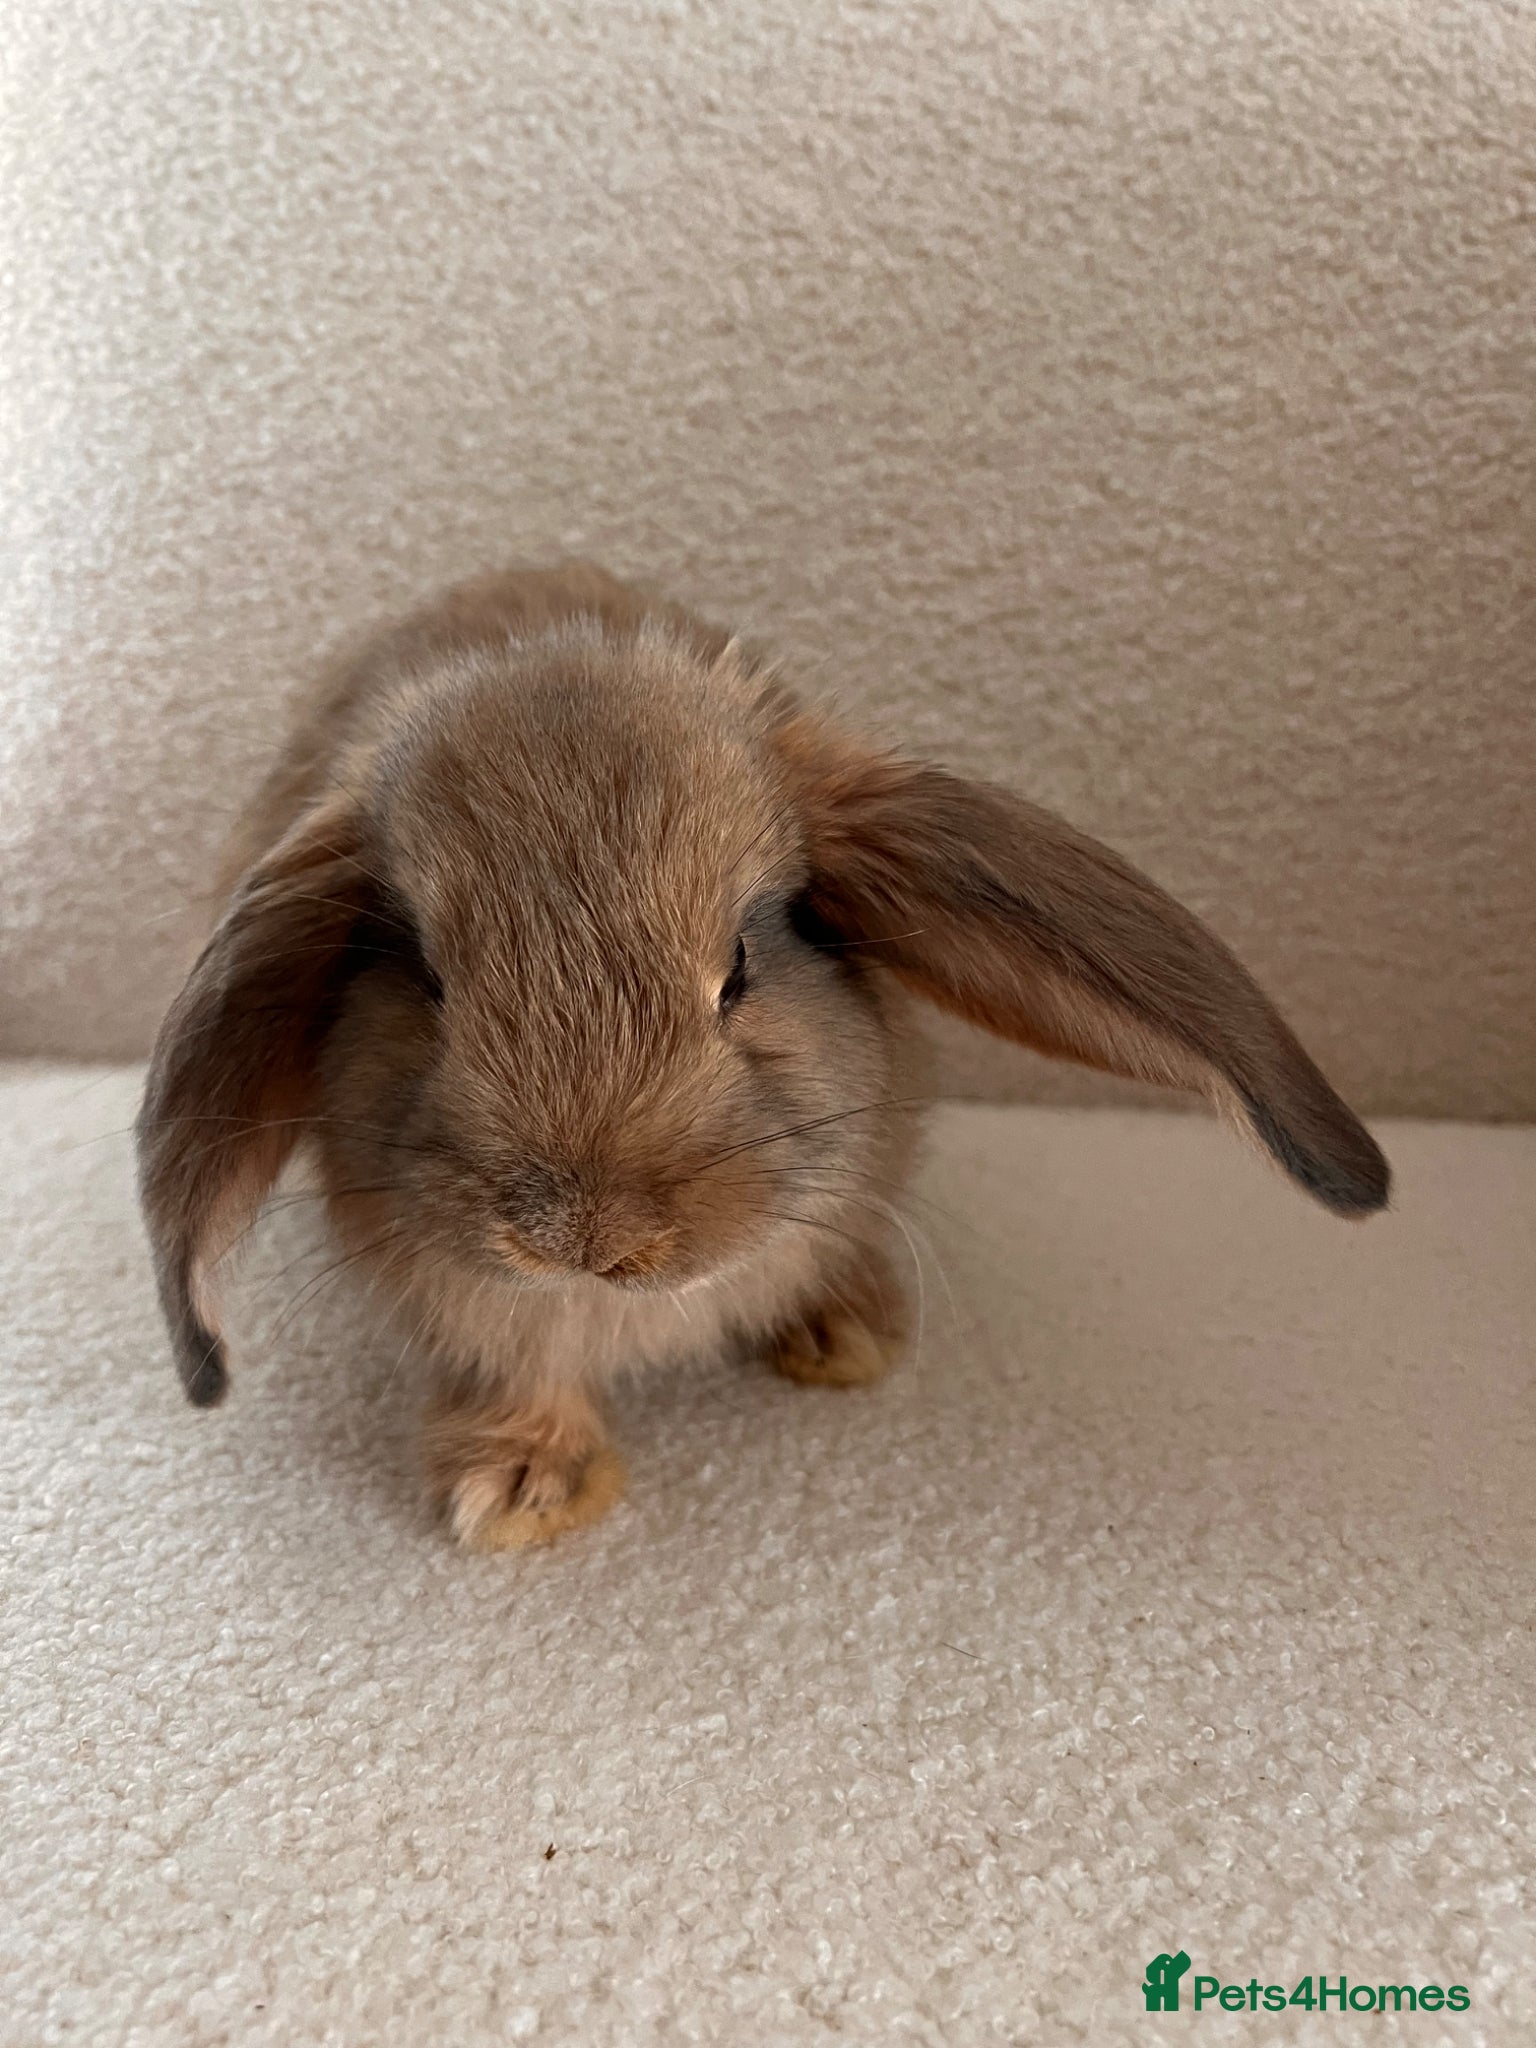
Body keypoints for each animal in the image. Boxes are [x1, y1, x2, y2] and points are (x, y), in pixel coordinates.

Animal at [137, 562, 1389, 1551]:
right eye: (428, 978)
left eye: (739, 963)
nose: (585, 1234)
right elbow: (519, 1370)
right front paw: (521, 1490)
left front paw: (846, 1335)